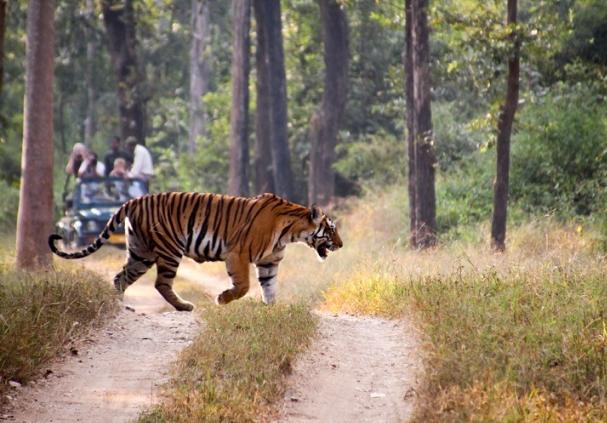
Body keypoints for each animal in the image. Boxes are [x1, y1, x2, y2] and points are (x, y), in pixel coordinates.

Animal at [47, 193, 342, 312]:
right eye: (331, 229)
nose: (340, 245)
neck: (291, 232)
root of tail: (134, 200)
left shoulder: (269, 262)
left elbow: (269, 289)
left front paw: (271, 311)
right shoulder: (237, 253)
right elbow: (243, 286)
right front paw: (222, 299)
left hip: (140, 252)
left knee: (121, 278)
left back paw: (119, 306)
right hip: (169, 249)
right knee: (161, 283)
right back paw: (184, 306)